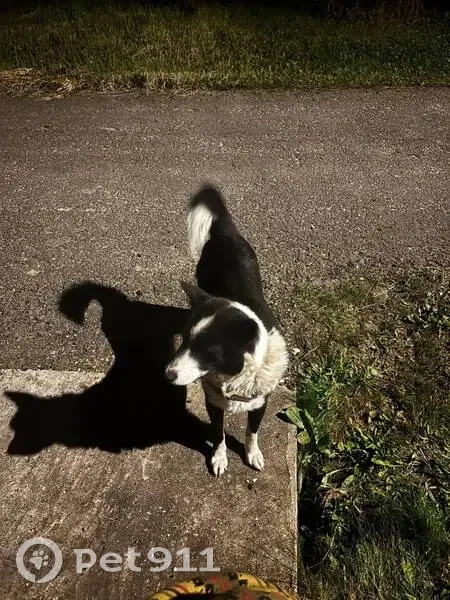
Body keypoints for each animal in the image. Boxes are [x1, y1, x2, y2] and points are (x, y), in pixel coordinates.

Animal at [165, 186, 288, 476]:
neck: (236, 375)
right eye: (184, 341)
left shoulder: (260, 403)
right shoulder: (213, 403)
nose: (167, 375)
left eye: (206, 351)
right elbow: (219, 433)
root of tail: (225, 232)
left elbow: (252, 431)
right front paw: (219, 457)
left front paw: (252, 454)